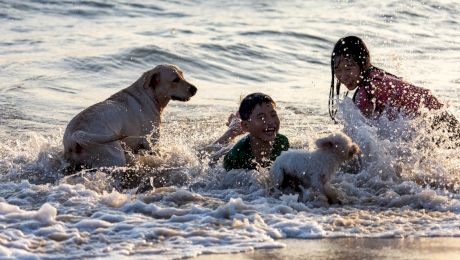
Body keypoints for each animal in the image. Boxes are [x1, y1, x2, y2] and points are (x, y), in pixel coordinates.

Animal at [62, 64, 196, 168]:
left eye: (182, 75)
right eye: (175, 80)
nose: (195, 89)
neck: (149, 95)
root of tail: (75, 134)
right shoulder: (152, 142)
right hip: (114, 155)